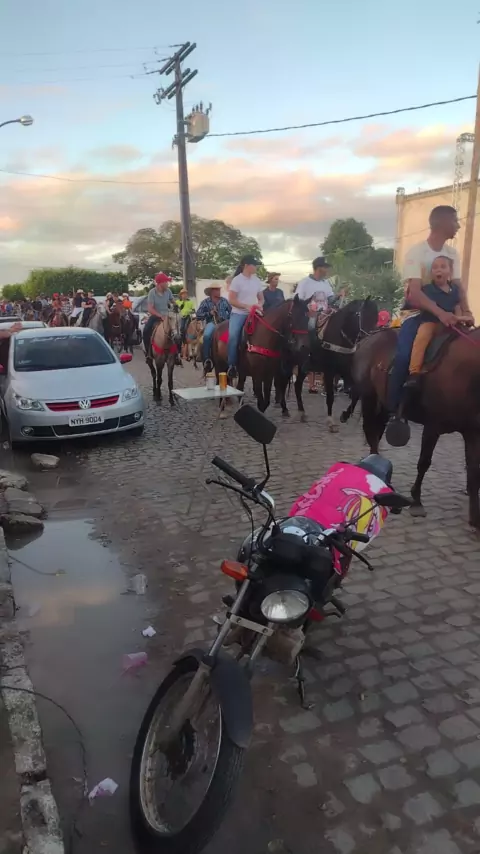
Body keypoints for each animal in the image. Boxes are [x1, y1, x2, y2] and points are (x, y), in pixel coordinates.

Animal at [301, 298, 378, 432]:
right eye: (363, 315)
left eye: (376, 318)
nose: (370, 338)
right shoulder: (329, 370)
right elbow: (330, 396)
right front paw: (331, 421)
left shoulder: (347, 371)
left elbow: (357, 392)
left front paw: (345, 415)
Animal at [341, 324, 480, 529]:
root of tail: (368, 338)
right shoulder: (433, 426)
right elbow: (424, 462)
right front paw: (416, 501)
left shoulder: (472, 432)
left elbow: (473, 470)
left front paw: (475, 516)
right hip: (369, 398)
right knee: (371, 434)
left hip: (384, 405)